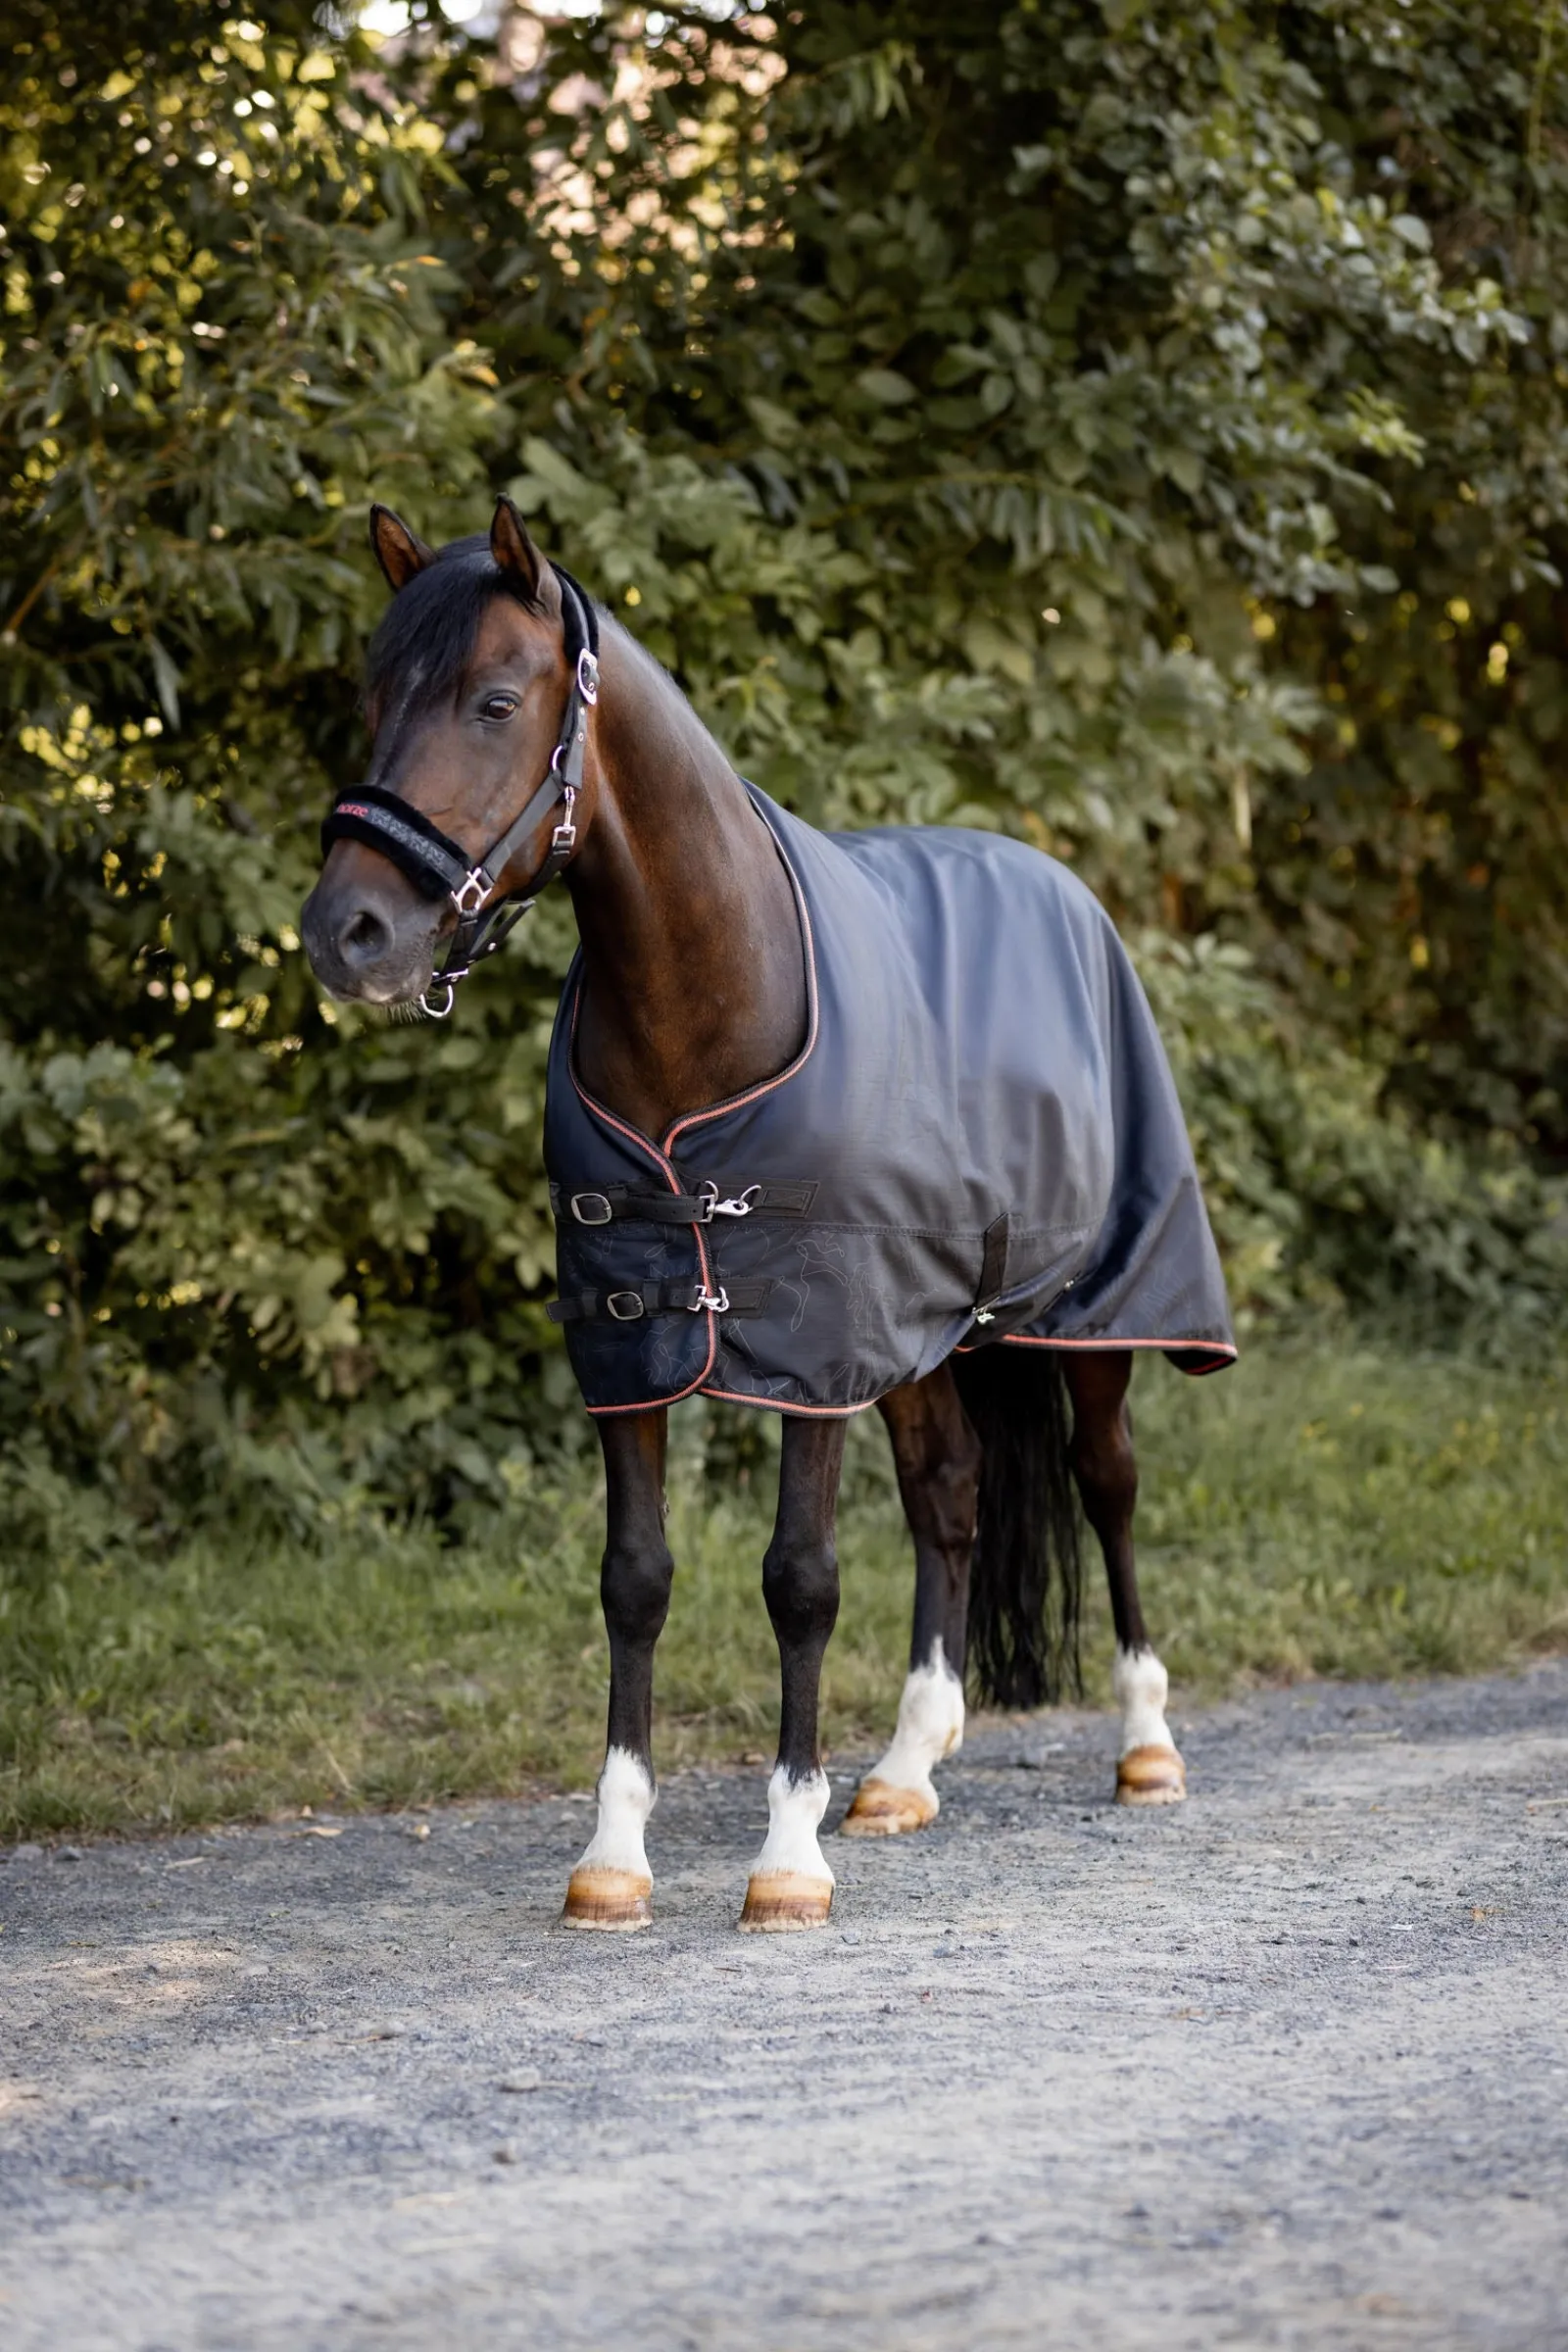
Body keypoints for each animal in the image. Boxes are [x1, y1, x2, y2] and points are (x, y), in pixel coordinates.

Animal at [301, 495, 1235, 1933]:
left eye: (494, 701)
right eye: (369, 698)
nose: (345, 931)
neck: (707, 1004)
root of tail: (1054, 875)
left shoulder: (811, 1351)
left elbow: (800, 1581)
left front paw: (786, 1859)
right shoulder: (631, 1344)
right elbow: (635, 1582)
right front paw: (613, 1858)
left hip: (1094, 1314)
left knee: (1109, 1485)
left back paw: (1145, 1746)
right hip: (926, 1337)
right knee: (950, 1494)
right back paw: (905, 1770)